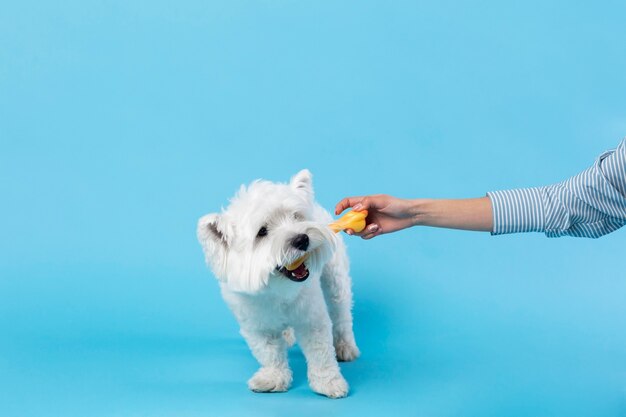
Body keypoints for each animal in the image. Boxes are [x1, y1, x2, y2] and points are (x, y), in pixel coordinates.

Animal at [195, 171, 360, 398]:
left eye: (296, 217)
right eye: (262, 232)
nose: (302, 239)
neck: (276, 290)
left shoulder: (312, 318)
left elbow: (321, 353)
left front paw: (328, 382)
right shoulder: (256, 325)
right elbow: (269, 353)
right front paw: (273, 378)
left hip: (336, 282)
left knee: (342, 316)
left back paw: (345, 346)